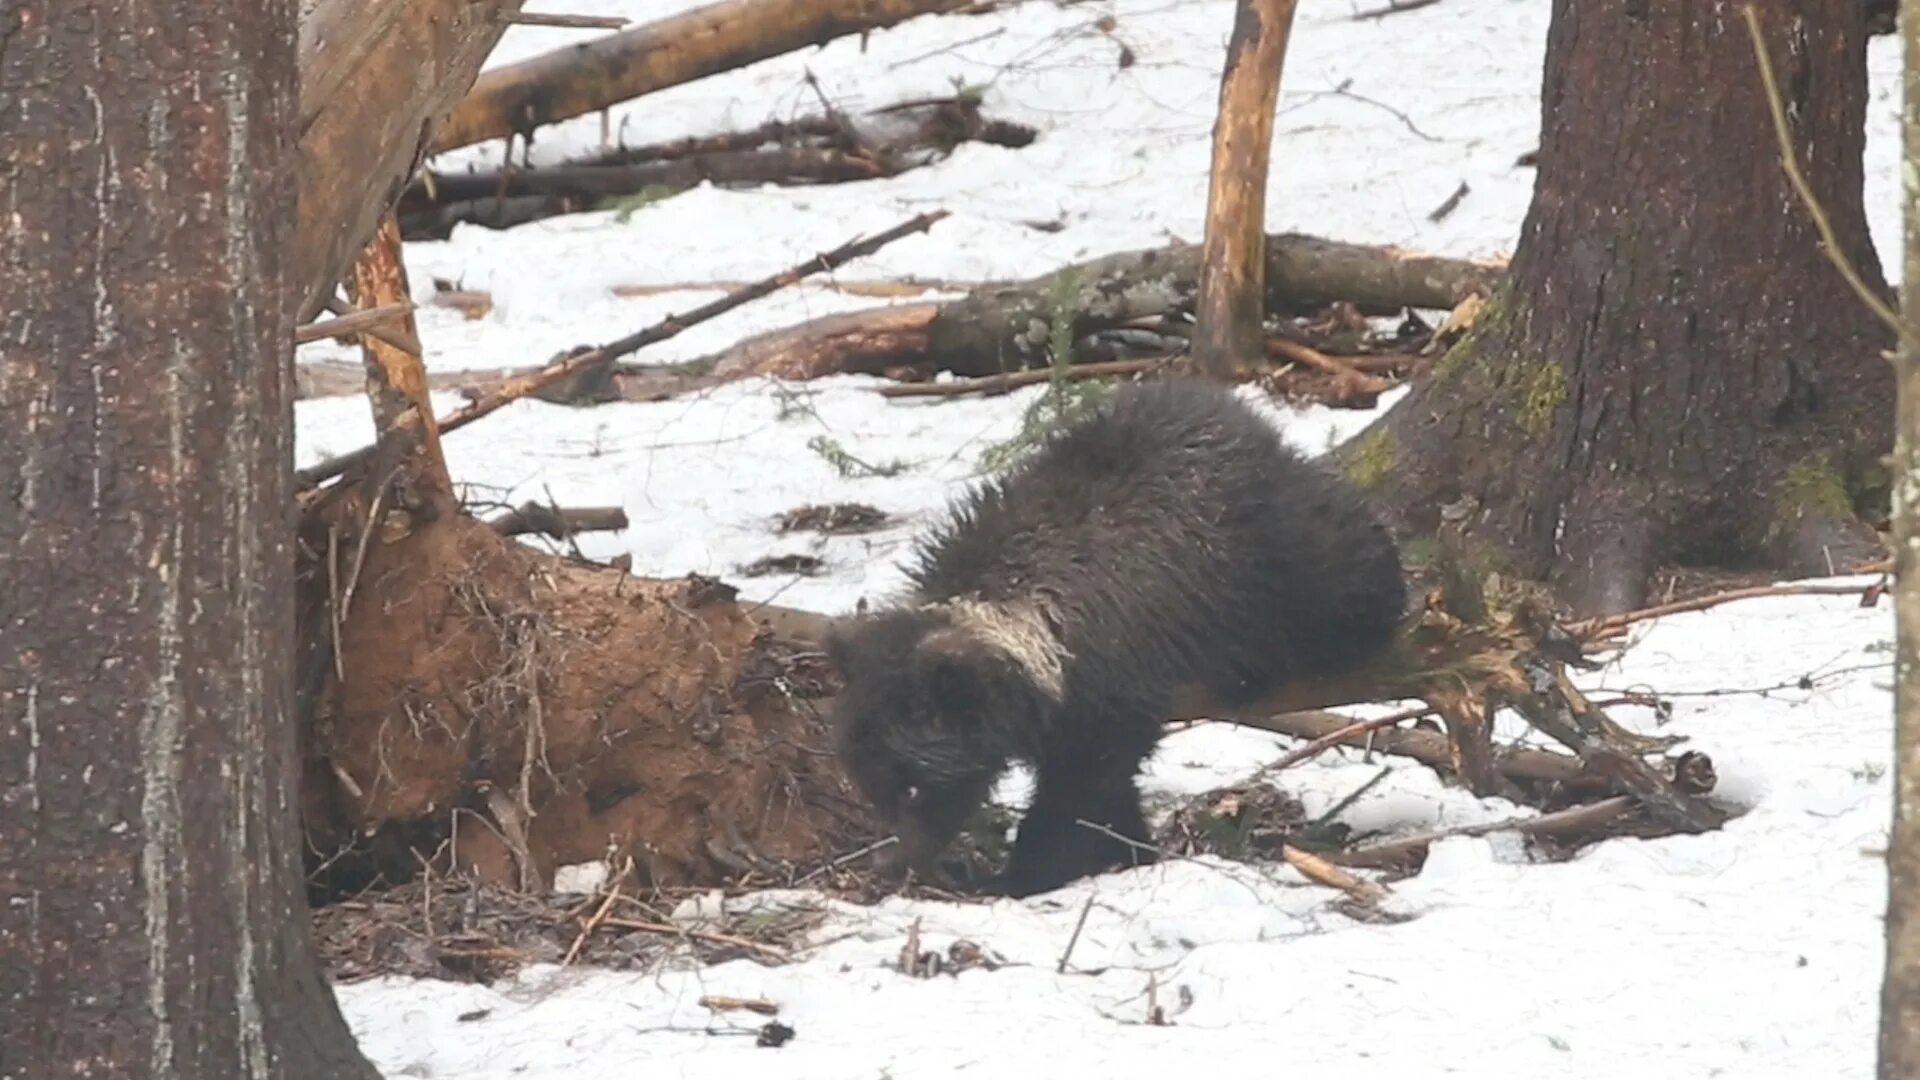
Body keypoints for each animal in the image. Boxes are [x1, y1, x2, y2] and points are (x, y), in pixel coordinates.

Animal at [829, 374, 1413, 895]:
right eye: (873, 783)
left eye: (914, 785)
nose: (891, 864)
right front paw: (1128, 848)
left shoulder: (1107, 691)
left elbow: (1078, 794)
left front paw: (1029, 871)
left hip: (1279, 550)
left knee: (1338, 562)